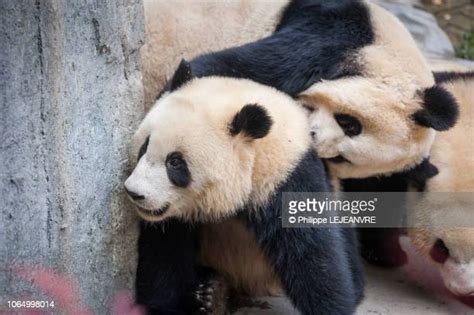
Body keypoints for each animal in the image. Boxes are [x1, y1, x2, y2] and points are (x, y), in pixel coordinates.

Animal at [124, 65, 364, 315]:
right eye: (144, 147)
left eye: (175, 163)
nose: (135, 192)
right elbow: (164, 252)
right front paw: (171, 305)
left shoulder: (287, 175)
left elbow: (313, 254)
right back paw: (210, 293)